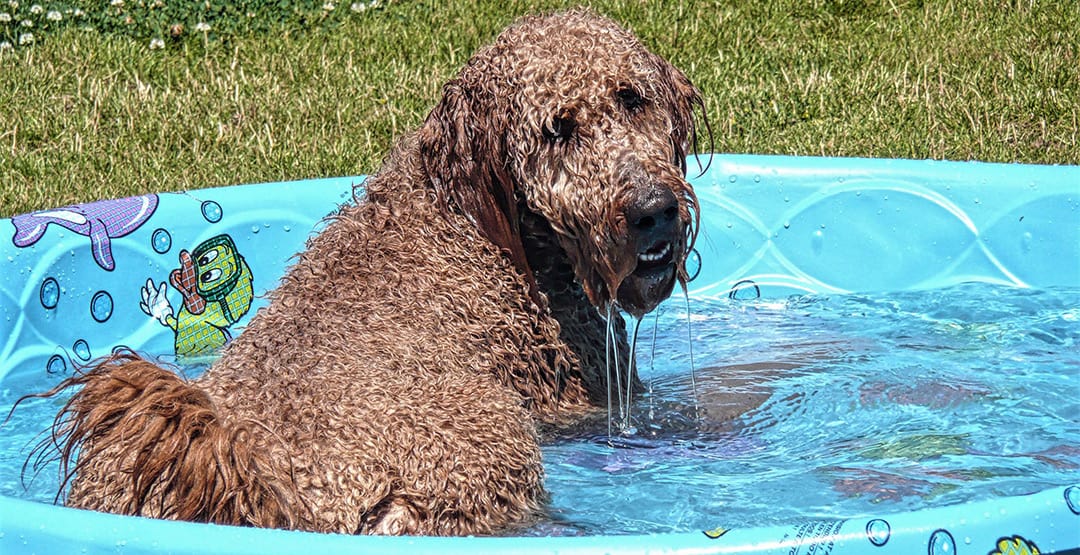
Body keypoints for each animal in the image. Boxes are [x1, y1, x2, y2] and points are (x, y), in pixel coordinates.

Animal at [33, 8, 704, 533]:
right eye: (558, 129)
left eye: (631, 97)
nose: (652, 211)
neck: (478, 218)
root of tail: (248, 479)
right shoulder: (581, 395)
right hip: (487, 446)